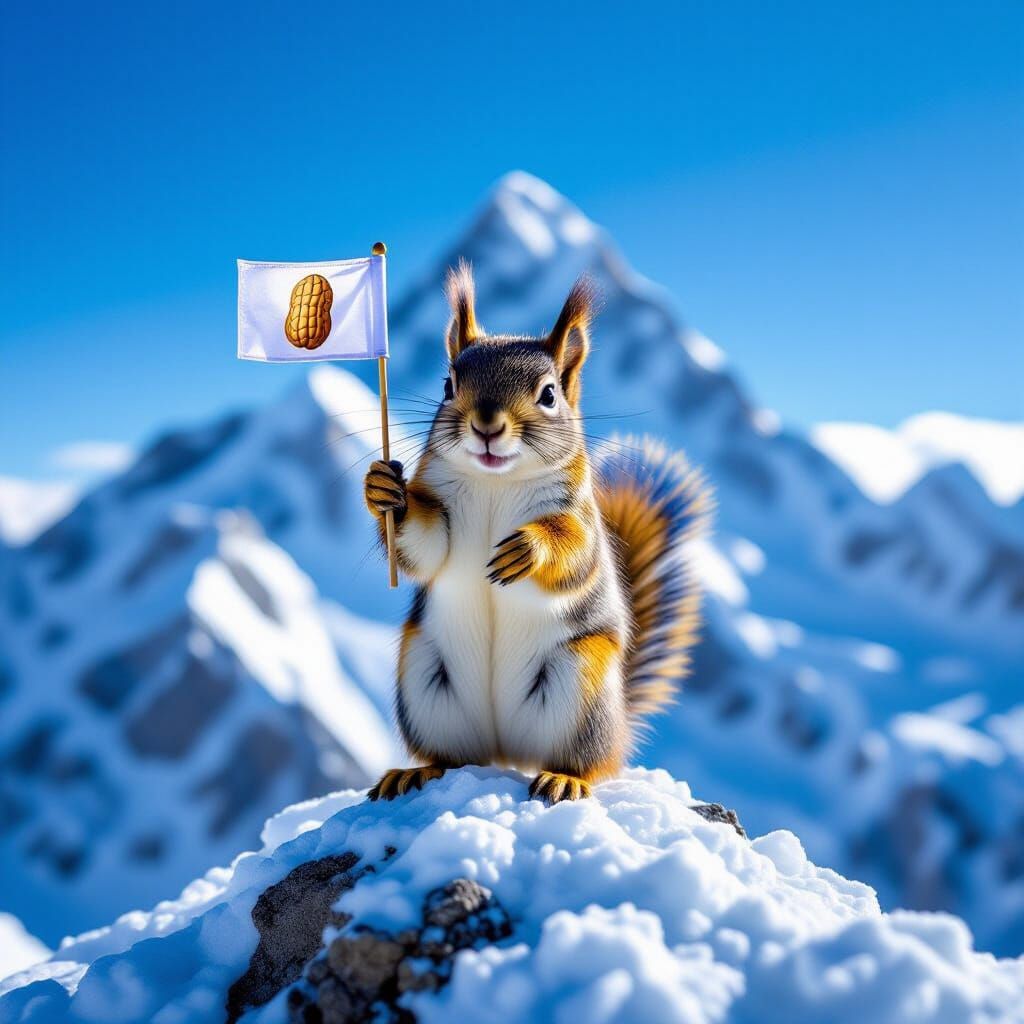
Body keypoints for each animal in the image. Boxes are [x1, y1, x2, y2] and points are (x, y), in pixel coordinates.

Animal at [363, 262, 710, 804]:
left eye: (548, 394)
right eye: (447, 384)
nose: (486, 424)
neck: (495, 482)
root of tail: (507, 751)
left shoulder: (579, 516)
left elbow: (576, 555)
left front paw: (527, 548)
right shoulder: (441, 513)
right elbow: (424, 546)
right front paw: (382, 489)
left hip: (579, 686)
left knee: (586, 762)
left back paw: (565, 778)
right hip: (424, 680)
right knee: (452, 755)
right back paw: (416, 772)